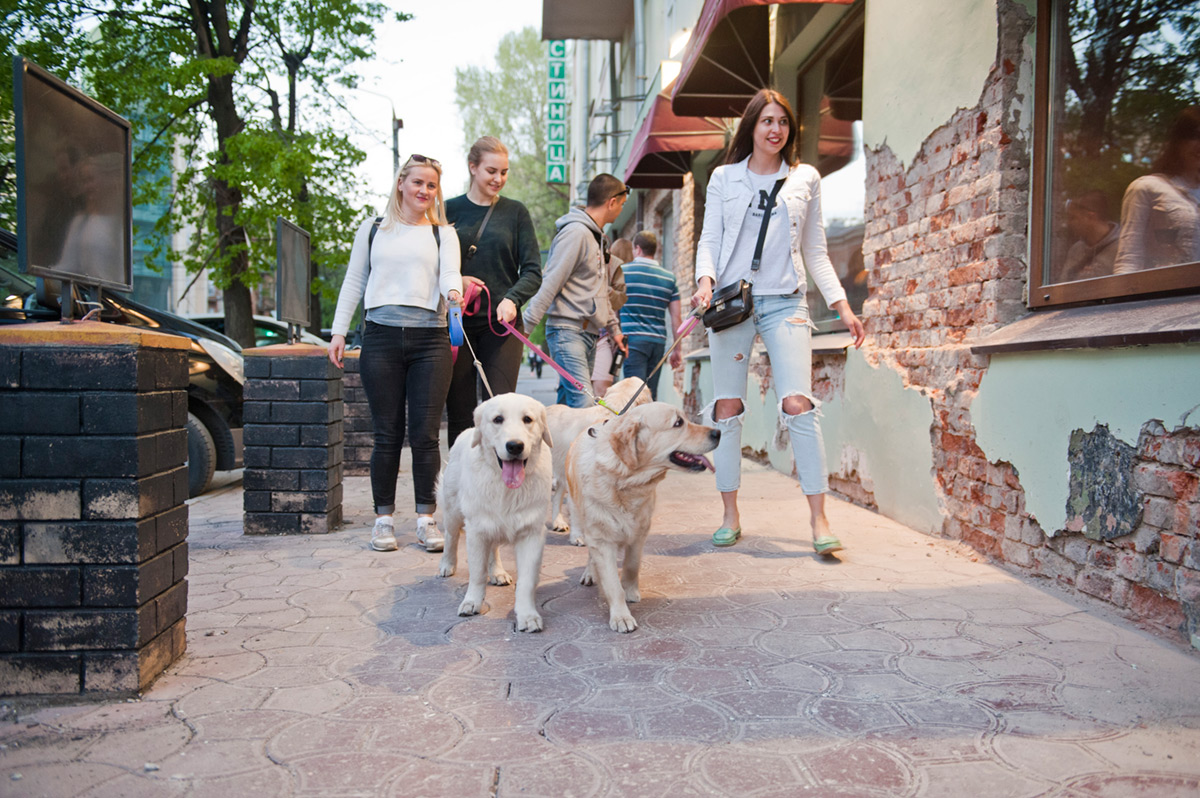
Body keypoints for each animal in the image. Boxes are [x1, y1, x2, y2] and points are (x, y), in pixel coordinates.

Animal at [437, 393, 553, 632]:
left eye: (527, 419)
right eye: (498, 419)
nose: (515, 446)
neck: (505, 488)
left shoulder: (531, 534)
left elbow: (527, 581)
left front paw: (527, 615)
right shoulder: (476, 531)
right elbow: (477, 573)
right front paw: (471, 602)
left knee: (494, 549)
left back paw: (497, 572)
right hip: (453, 512)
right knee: (451, 538)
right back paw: (447, 565)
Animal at [566, 402, 720, 632]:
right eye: (678, 423)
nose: (718, 432)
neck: (625, 480)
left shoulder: (640, 532)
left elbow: (632, 565)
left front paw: (630, 592)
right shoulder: (601, 539)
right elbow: (612, 582)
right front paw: (621, 616)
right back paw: (590, 572)